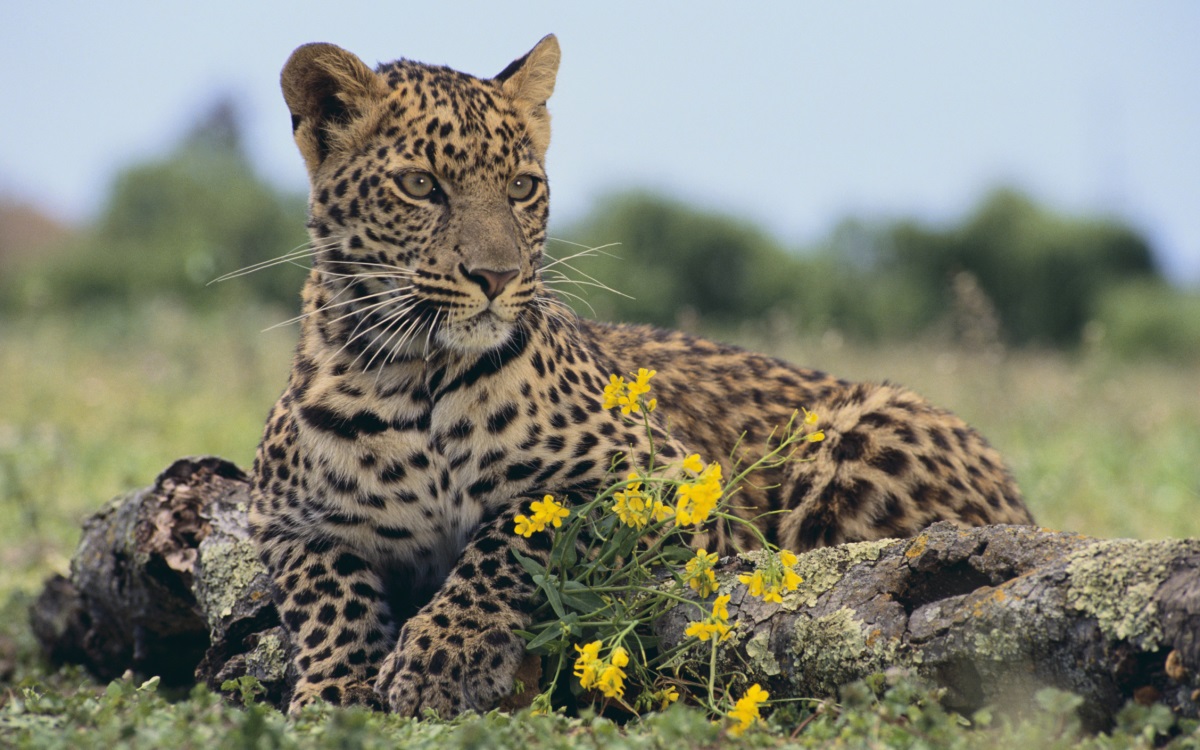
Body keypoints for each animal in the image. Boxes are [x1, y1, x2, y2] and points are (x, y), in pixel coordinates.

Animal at [250, 36, 1032, 720]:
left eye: (521, 187)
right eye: (420, 185)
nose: (497, 277)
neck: (417, 377)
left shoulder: (658, 482)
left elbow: (515, 536)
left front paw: (446, 654)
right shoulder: (281, 518)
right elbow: (326, 593)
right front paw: (335, 689)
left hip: (868, 425)